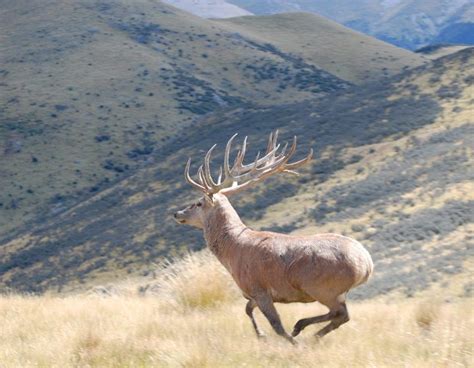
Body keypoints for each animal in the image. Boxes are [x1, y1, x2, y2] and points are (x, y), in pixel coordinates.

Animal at [174, 131, 374, 344]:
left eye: (198, 203)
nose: (177, 213)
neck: (232, 251)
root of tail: (366, 265)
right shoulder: (253, 295)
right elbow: (247, 310)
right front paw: (261, 335)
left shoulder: (258, 288)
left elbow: (276, 324)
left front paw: (291, 342)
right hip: (333, 291)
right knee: (341, 315)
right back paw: (308, 332)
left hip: (323, 287)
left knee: (340, 314)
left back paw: (301, 329)